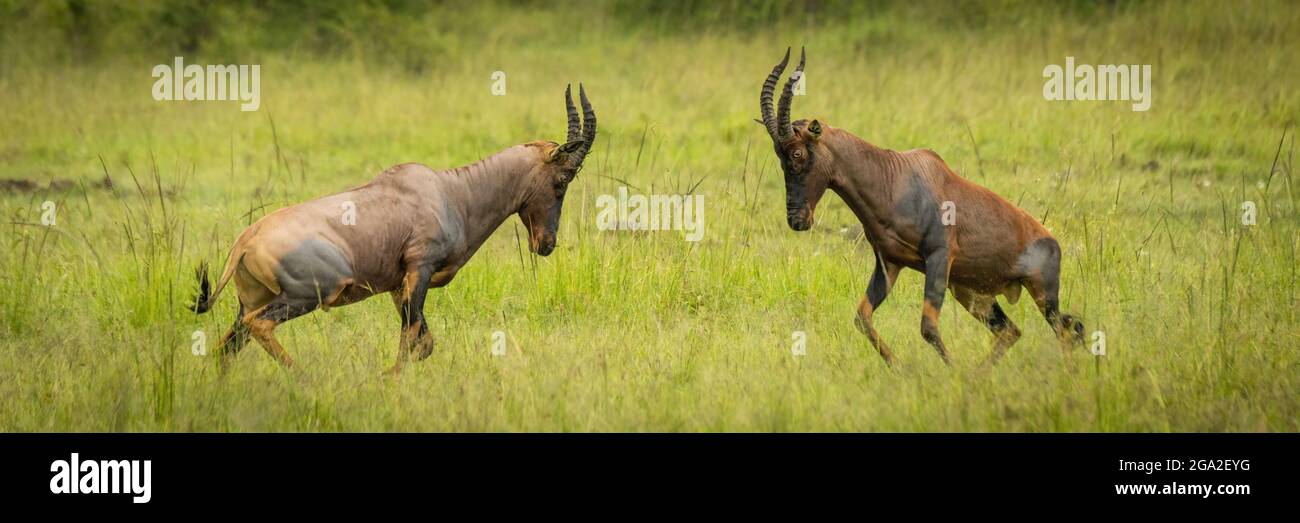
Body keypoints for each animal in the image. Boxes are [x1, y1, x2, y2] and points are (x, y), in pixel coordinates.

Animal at [189, 85, 595, 374]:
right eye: (563, 179)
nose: (546, 243)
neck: (450, 192)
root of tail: (245, 240)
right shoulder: (419, 269)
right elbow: (412, 338)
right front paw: (390, 378)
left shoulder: (398, 286)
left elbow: (423, 343)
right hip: (307, 295)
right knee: (259, 327)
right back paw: (301, 376)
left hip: (250, 301)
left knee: (226, 347)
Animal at [759, 50, 1086, 366]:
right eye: (778, 154)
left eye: (798, 153)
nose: (797, 219)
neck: (893, 177)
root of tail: (1052, 241)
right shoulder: (889, 263)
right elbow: (862, 318)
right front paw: (900, 368)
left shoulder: (939, 256)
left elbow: (928, 327)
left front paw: (950, 371)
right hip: (971, 293)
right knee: (1015, 331)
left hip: (1041, 292)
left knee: (1067, 330)